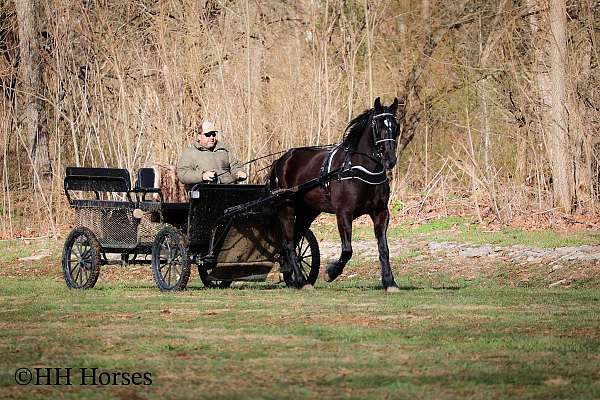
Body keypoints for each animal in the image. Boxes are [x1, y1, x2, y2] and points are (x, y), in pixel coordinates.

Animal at [270, 97, 400, 290]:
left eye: (395, 127)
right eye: (378, 126)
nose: (390, 160)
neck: (357, 169)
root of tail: (281, 160)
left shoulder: (380, 212)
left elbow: (384, 248)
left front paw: (389, 281)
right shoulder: (344, 213)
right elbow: (347, 250)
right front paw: (330, 273)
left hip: (308, 211)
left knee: (295, 238)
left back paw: (289, 273)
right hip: (286, 207)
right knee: (289, 242)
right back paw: (301, 280)